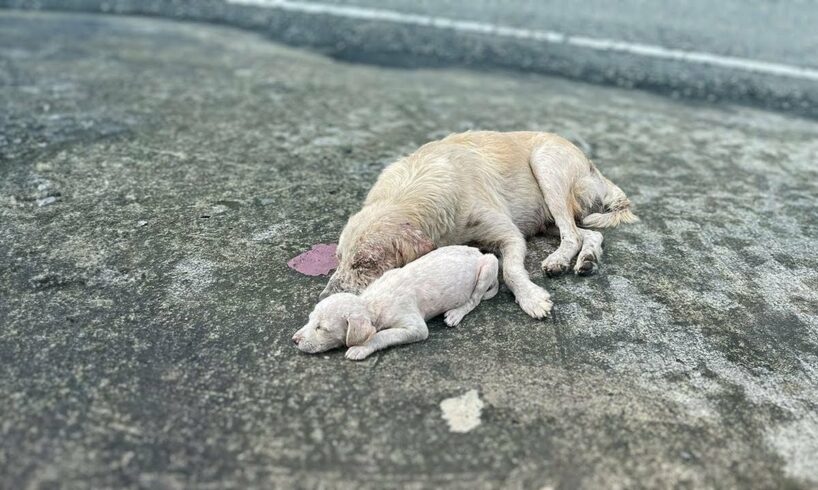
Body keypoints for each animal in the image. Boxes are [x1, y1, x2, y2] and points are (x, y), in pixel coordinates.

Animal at [294, 247, 498, 358]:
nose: (294, 340)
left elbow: (382, 335)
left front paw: (360, 348)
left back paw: (456, 313)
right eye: (310, 320)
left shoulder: (416, 327)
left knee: (474, 299)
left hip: (489, 264)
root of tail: (479, 253)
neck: (371, 303)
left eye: (322, 328)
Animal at [318, 130, 636, 318]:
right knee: (590, 235)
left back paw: (559, 260)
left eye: (364, 263)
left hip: (547, 166)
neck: (411, 191)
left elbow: (511, 271)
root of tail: (595, 168)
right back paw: (586, 260)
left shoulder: (509, 235)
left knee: (572, 234)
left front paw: (532, 299)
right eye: (339, 259)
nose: (324, 298)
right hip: (549, 218)